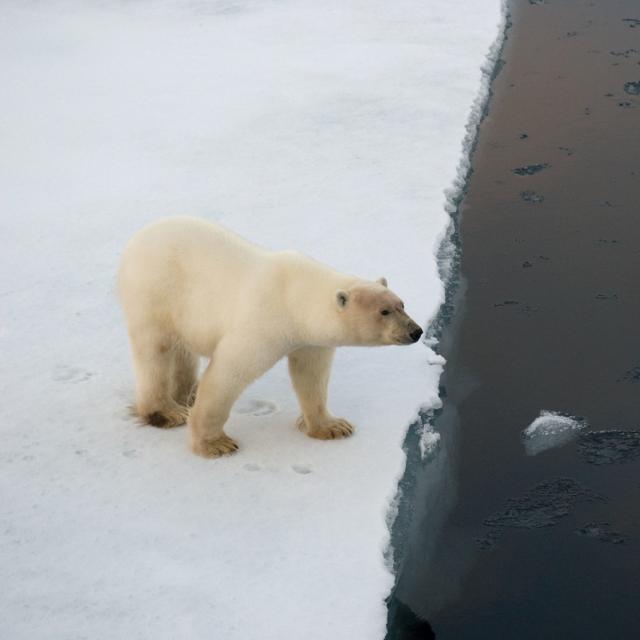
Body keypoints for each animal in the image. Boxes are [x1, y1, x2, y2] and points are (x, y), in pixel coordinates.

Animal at [118, 217, 423, 458]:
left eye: (402, 304)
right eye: (384, 311)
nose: (416, 331)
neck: (295, 295)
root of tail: (136, 239)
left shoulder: (310, 339)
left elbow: (311, 376)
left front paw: (332, 426)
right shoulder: (264, 323)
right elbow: (229, 373)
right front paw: (216, 444)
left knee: (183, 350)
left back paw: (187, 395)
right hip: (155, 293)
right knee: (154, 350)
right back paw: (167, 412)